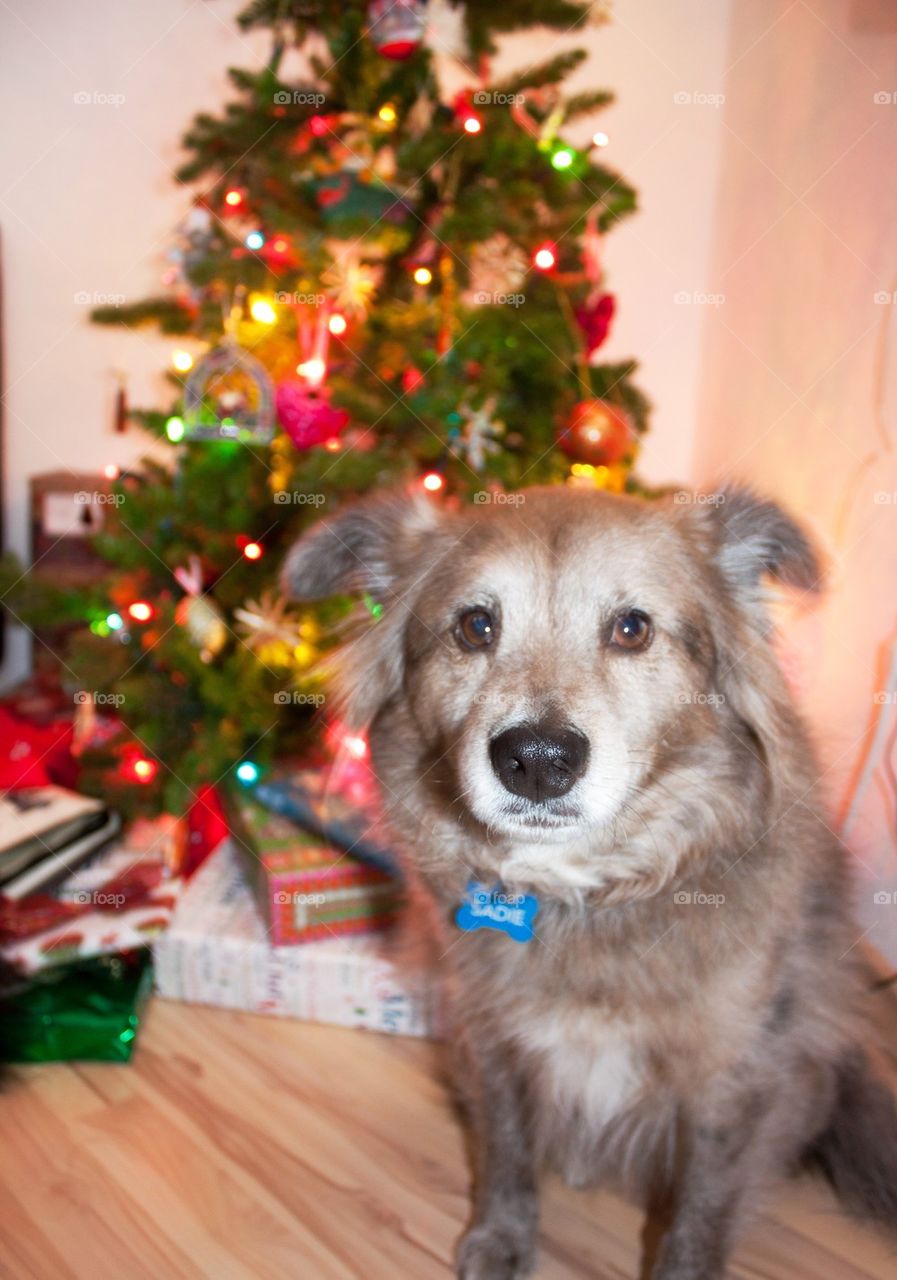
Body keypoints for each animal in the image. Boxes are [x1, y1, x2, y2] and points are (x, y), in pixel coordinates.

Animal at [281, 486, 895, 1280]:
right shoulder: (492, 1039)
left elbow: (700, 1212)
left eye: (632, 629)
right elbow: (507, 1154)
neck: (587, 894)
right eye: (474, 626)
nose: (537, 760)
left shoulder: (729, 1080)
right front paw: (503, 1238)